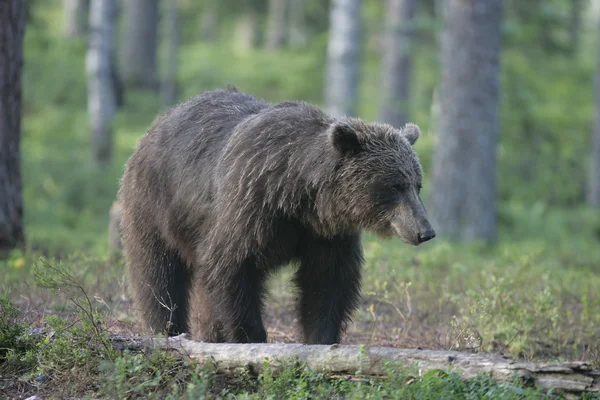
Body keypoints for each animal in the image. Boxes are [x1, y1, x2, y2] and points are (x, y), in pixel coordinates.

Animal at [118, 86, 436, 344]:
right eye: (395, 185)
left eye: (417, 184)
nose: (425, 231)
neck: (301, 198)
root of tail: (159, 122)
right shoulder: (249, 208)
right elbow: (230, 268)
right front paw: (251, 336)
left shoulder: (327, 235)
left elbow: (327, 283)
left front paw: (321, 338)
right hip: (155, 204)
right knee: (158, 274)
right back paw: (167, 329)